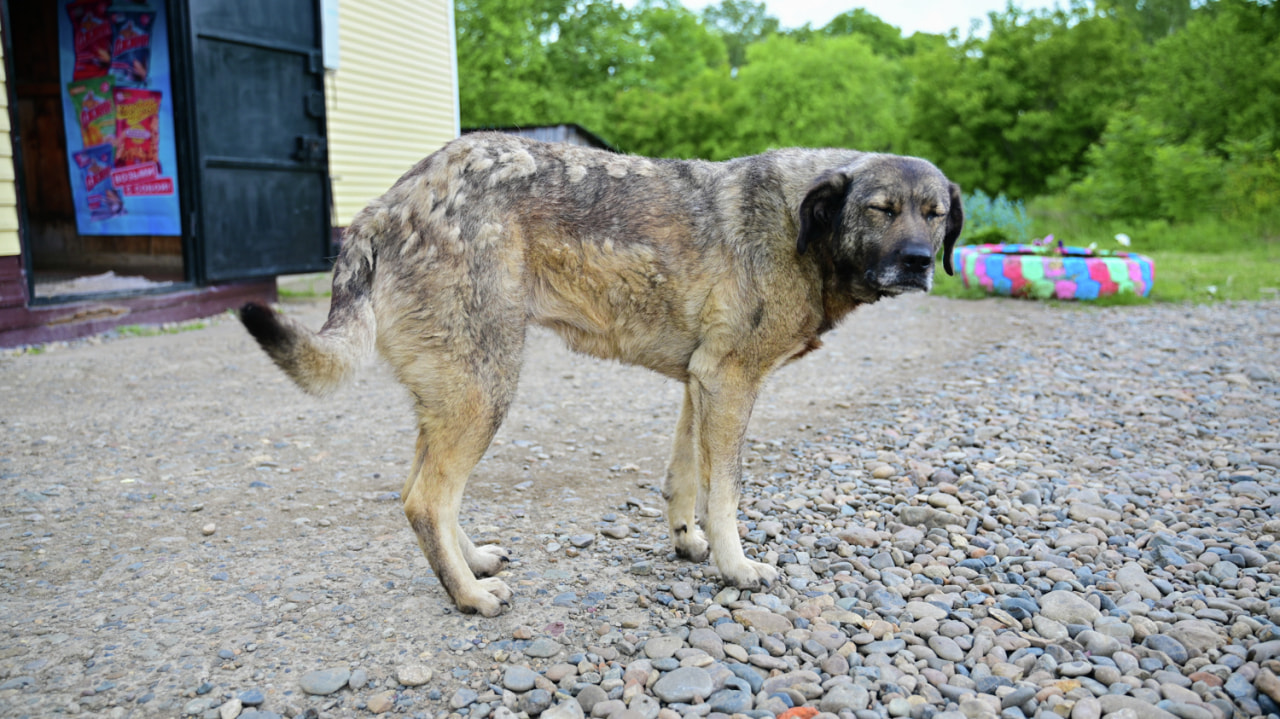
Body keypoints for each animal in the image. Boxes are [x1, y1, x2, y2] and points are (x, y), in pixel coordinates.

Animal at [238, 134, 962, 616]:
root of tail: (385, 207)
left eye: (935, 213)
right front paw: (735, 567)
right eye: (881, 208)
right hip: (485, 388)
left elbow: (685, 479)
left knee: (422, 492)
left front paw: (688, 542)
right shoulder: (730, 383)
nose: (920, 262)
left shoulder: (700, 382)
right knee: (426, 499)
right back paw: (470, 595)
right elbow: (725, 493)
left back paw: (470, 563)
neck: (800, 225)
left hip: (454, 390)